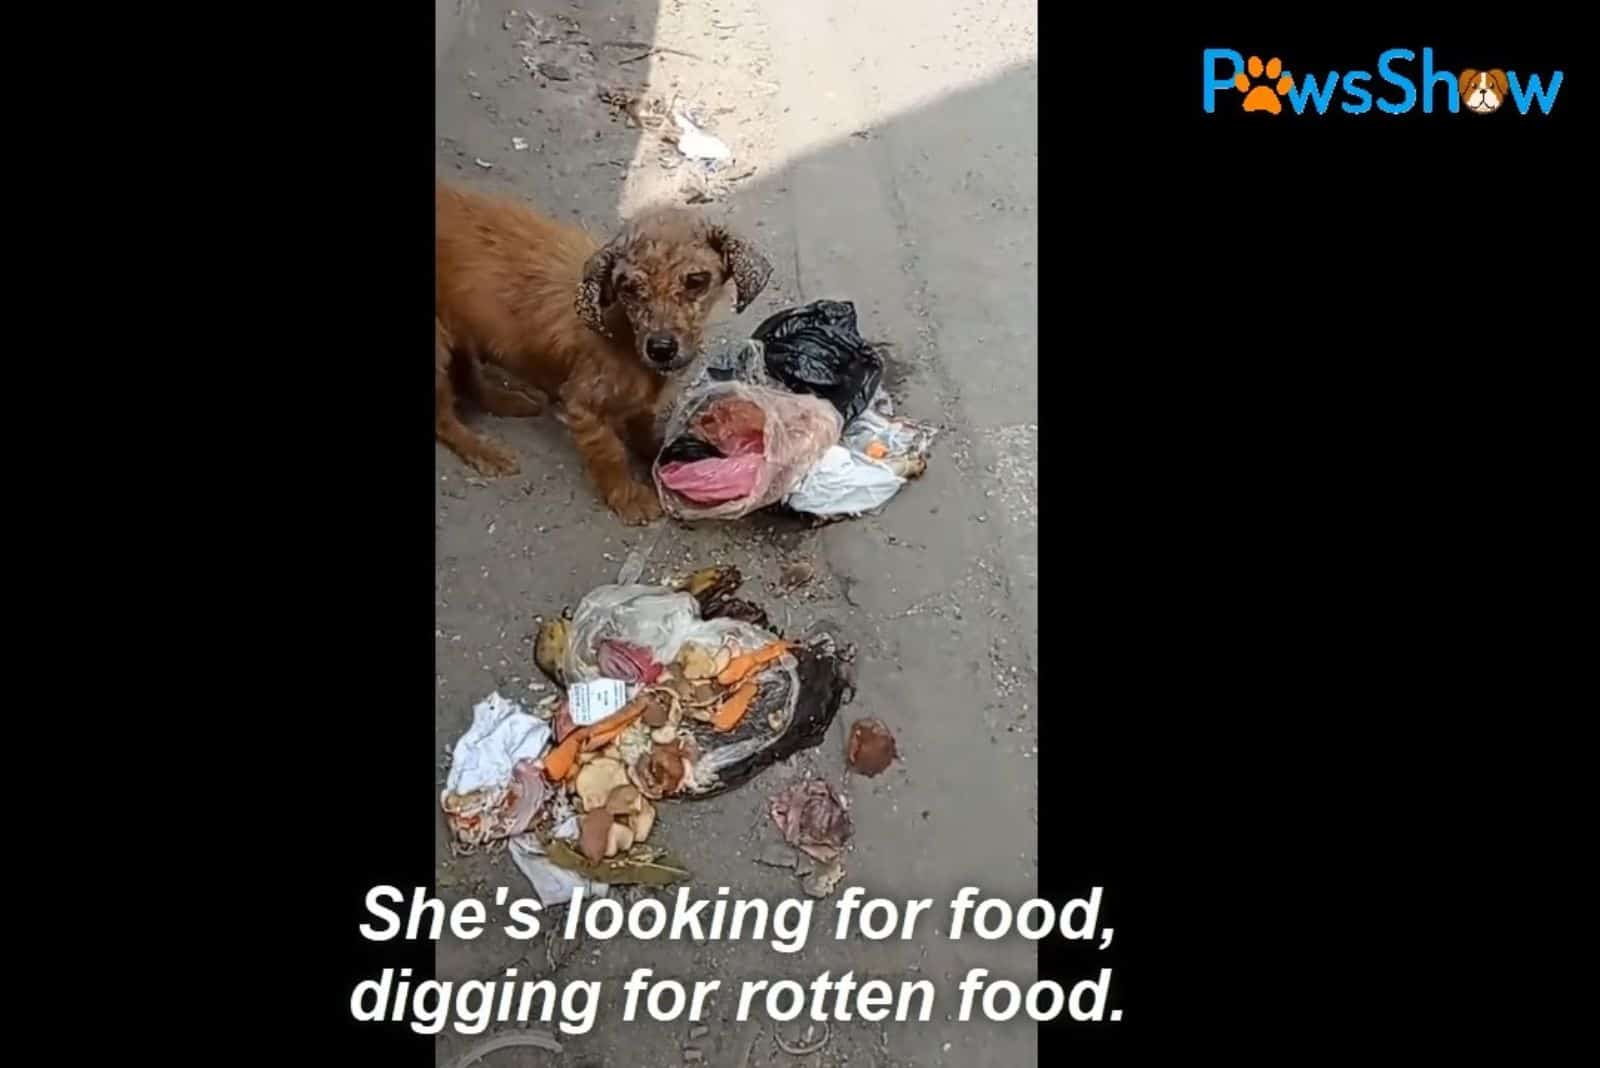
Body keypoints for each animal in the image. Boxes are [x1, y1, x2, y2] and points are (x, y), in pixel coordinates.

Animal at [432, 184, 768, 524]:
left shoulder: (640, 403)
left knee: (467, 374)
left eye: (696, 281)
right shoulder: (583, 405)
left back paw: (504, 400)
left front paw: (659, 452)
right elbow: (610, 453)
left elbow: (645, 427)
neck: (623, 331)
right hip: (437, 349)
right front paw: (628, 497)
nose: (660, 349)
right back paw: (483, 450)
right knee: (443, 418)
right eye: (628, 288)